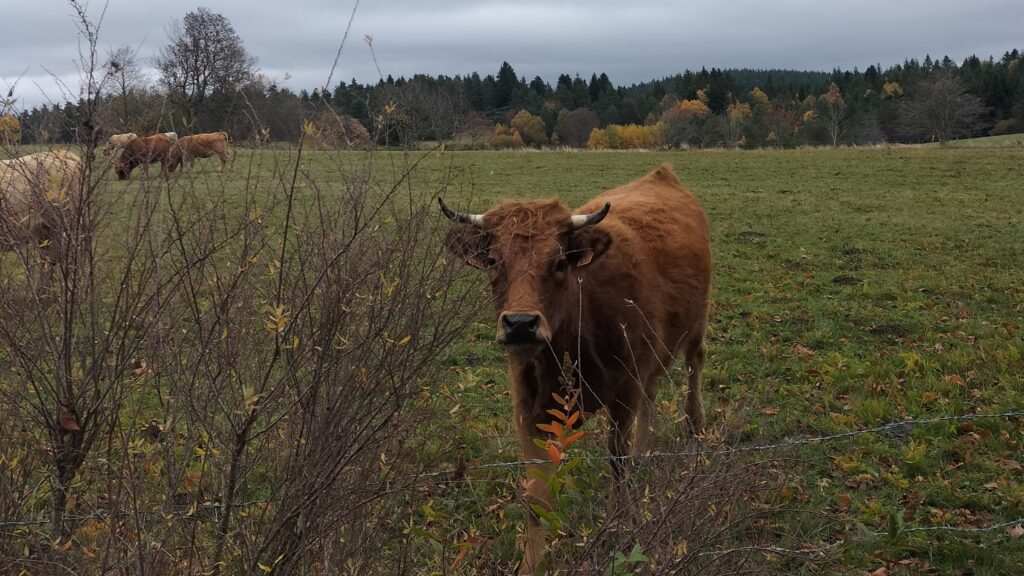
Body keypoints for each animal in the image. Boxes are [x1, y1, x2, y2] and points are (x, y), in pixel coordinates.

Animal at [439, 164, 712, 574]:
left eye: (559, 262)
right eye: (493, 261)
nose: (520, 323)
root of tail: (663, 175)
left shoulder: (623, 392)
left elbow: (617, 462)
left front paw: (619, 523)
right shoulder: (530, 408)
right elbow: (537, 495)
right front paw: (532, 563)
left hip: (695, 326)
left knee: (694, 368)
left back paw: (694, 426)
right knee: (652, 393)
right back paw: (647, 449)